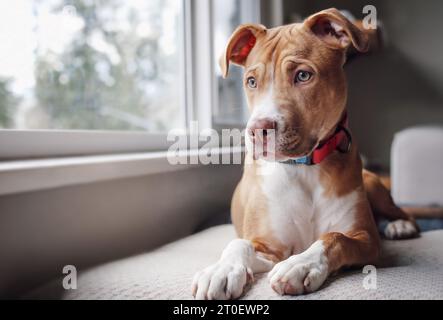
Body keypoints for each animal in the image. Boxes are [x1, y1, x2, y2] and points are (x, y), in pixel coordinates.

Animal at [192, 8, 420, 302]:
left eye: (302, 76)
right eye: (251, 81)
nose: (257, 130)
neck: (303, 167)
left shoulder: (366, 239)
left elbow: (335, 237)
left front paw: (300, 265)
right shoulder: (268, 246)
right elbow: (239, 243)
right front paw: (221, 270)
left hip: (374, 187)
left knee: (402, 213)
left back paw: (400, 226)